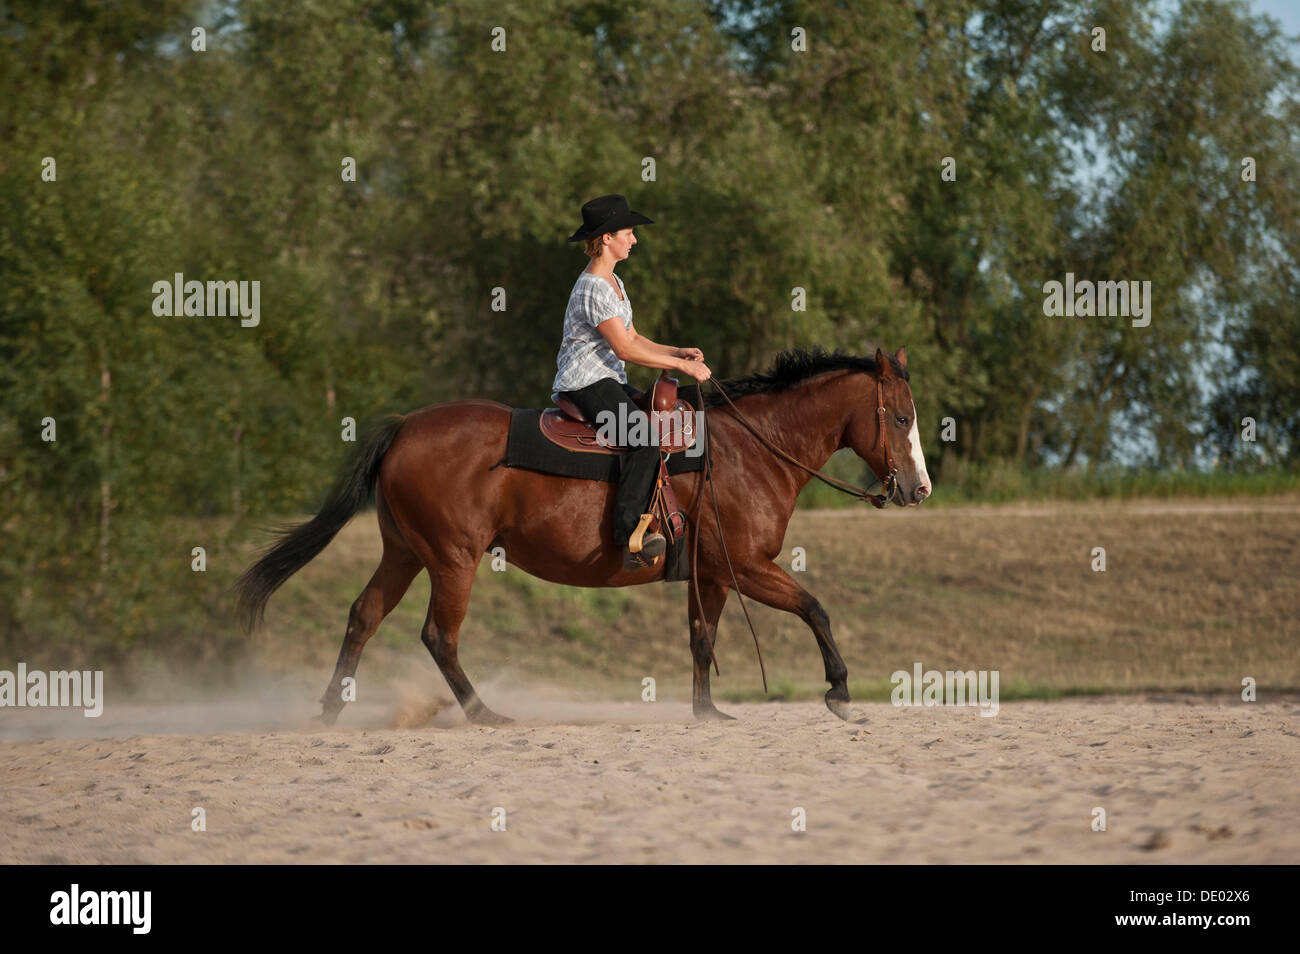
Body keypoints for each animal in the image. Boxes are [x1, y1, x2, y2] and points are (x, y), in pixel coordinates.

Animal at [231, 348, 925, 727]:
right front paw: (839, 691)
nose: (918, 490)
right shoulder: (749, 566)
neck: (747, 452)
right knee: (438, 636)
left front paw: (708, 711)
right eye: (900, 416)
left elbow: (702, 638)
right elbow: (815, 608)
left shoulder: (713, 573)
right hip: (454, 559)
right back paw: (484, 713)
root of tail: (405, 427)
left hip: (404, 553)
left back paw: (330, 709)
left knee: (364, 614)